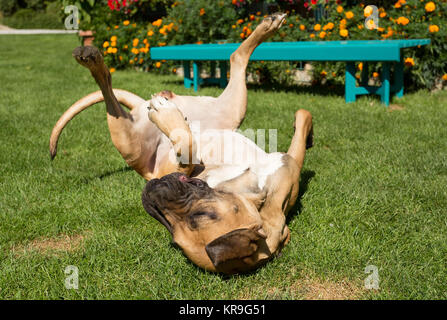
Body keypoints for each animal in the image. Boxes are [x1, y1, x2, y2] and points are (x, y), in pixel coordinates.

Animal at [50, 11, 316, 272]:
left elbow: (303, 117)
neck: (253, 191)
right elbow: (187, 148)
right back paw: (92, 58)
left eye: (199, 216)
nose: (151, 193)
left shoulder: (287, 166)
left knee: (235, 59)